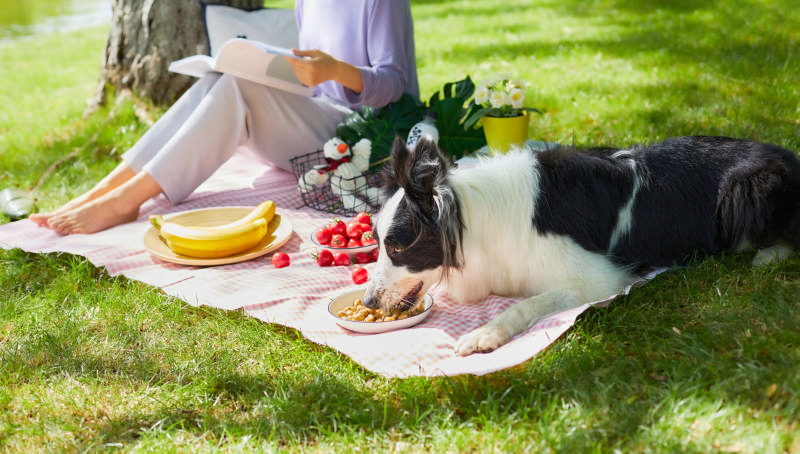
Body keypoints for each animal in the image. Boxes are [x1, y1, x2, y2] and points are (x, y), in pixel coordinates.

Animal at [362, 135, 800, 354]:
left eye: (397, 249)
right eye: (377, 244)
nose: (367, 302)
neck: (477, 218)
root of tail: (789, 158)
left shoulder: (599, 278)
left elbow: (527, 304)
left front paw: (486, 333)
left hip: (747, 190)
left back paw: (768, 255)